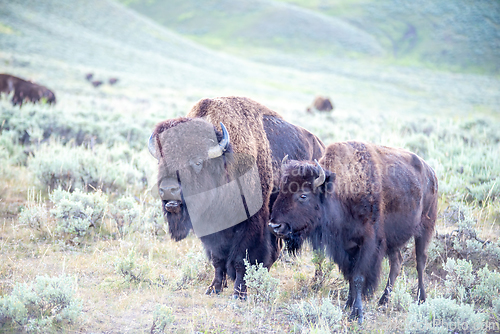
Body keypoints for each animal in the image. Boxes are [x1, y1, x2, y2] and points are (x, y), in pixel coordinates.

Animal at [148, 96, 324, 298]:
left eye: (198, 162)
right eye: (161, 161)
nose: (169, 190)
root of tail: (321, 146)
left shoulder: (251, 224)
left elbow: (242, 259)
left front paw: (239, 293)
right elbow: (217, 258)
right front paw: (214, 287)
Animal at [270, 142, 438, 324]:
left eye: (303, 195)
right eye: (281, 189)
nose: (275, 225)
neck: (341, 192)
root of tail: (431, 172)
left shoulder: (367, 244)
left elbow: (358, 277)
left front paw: (357, 314)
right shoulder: (345, 247)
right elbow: (350, 276)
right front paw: (348, 305)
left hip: (425, 228)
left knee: (420, 261)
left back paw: (421, 298)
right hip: (392, 241)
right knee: (397, 263)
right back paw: (383, 300)